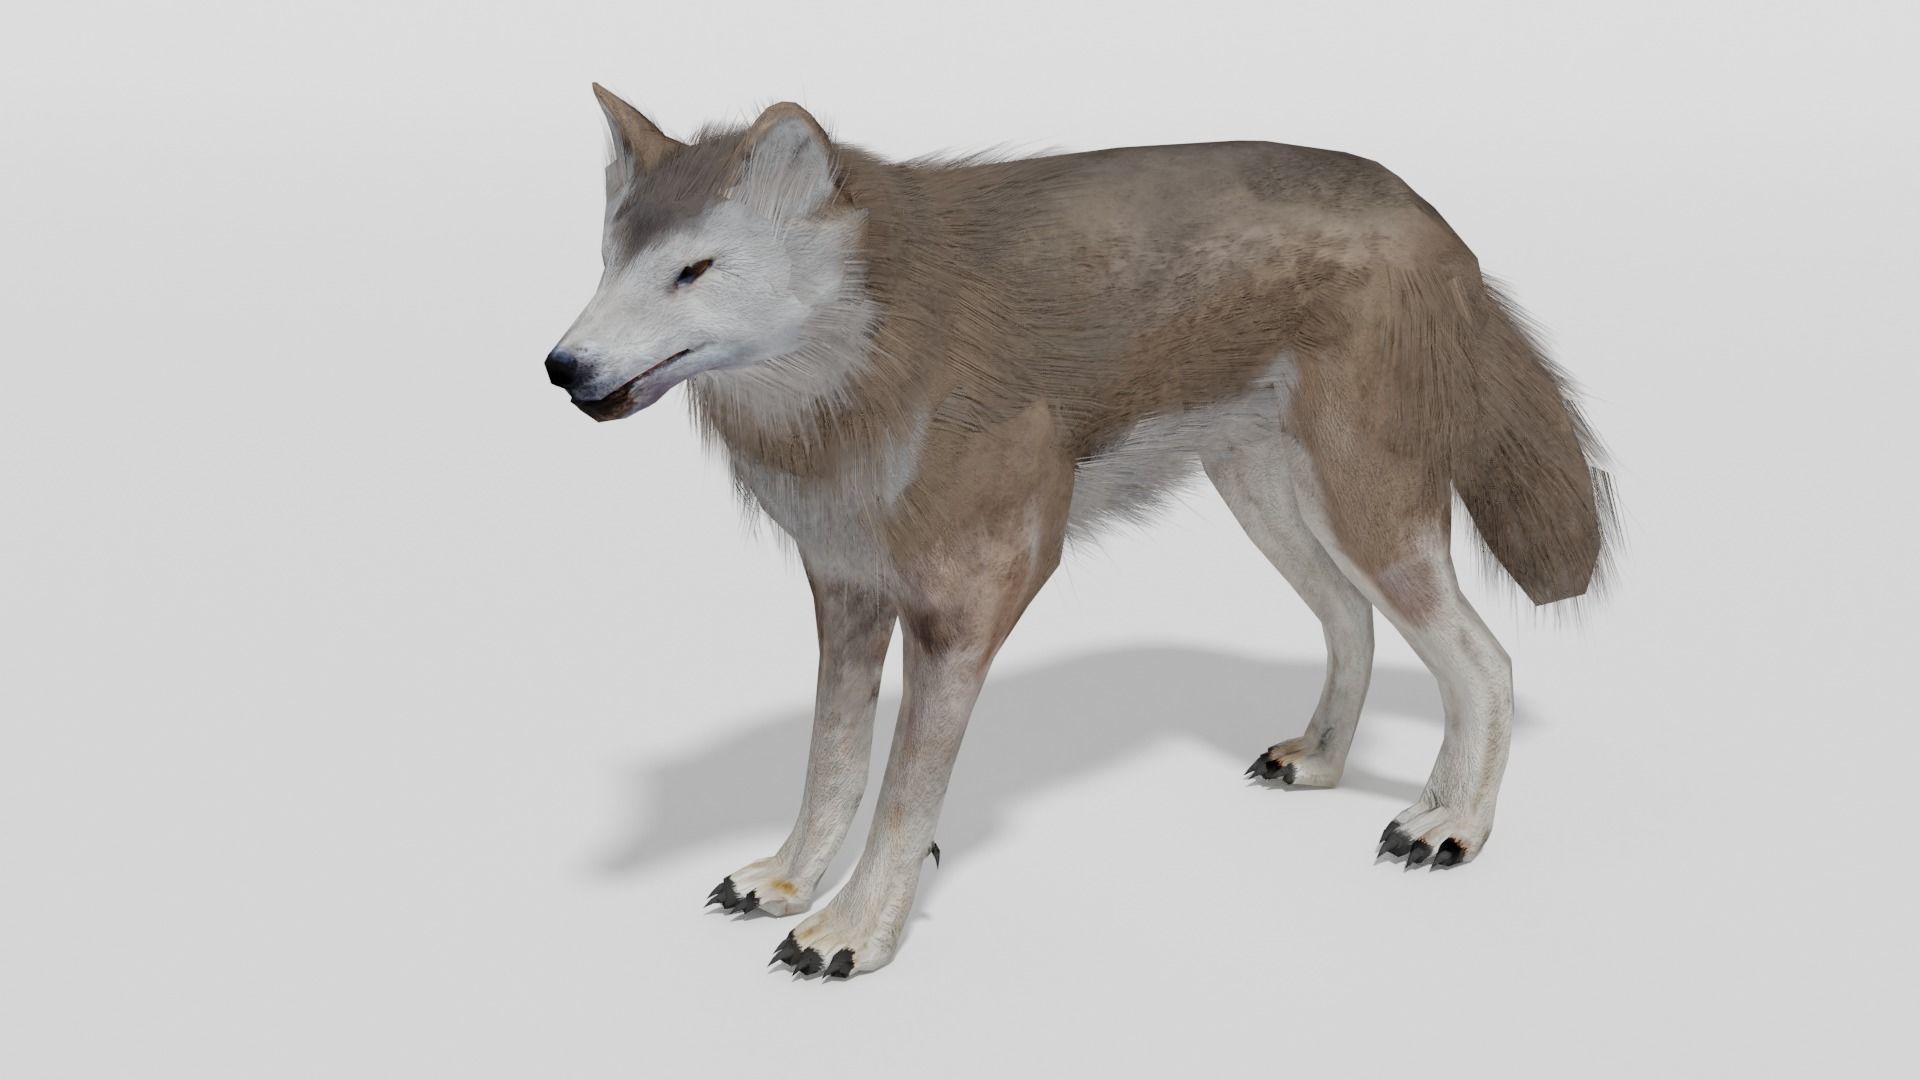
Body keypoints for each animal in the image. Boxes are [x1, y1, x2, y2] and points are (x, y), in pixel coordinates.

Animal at [548, 86, 1614, 979]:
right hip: (1273, 505)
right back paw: (1317, 763)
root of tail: (1427, 215)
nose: (564, 366)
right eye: (608, 264)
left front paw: (853, 932)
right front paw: (787, 879)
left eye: (693, 272)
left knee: (1485, 663)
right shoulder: (847, 589)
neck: (875, 356)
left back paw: (1450, 825)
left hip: (1368, 513)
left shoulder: (975, 594)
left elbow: (902, 793)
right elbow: (832, 766)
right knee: (1350, 624)